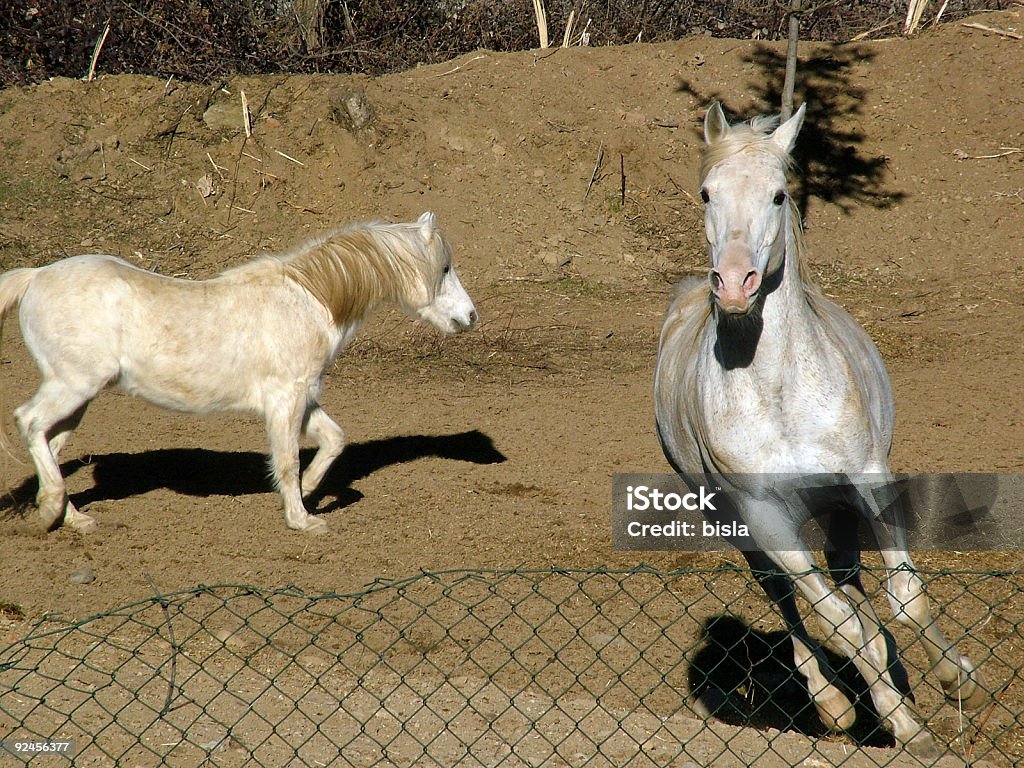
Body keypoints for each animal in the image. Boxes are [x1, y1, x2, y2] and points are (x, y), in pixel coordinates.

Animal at [0, 210, 479, 536]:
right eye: (444, 268)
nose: (470, 317)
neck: (308, 300)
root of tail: (36, 277)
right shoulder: (285, 399)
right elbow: (287, 459)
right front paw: (302, 519)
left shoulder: (303, 396)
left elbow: (333, 440)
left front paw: (310, 492)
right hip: (73, 384)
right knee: (30, 423)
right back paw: (50, 510)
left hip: (80, 396)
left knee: (51, 445)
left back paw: (74, 519)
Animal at [655, 105, 983, 761]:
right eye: (707, 193)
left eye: (779, 194)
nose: (734, 284)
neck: (779, 393)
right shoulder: (763, 515)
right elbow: (833, 618)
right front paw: (904, 726)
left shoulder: (867, 478)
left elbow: (903, 598)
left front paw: (955, 677)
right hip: (743, 523)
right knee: (794, 597)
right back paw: (835, 702)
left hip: (835, 509)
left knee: (851, 586)